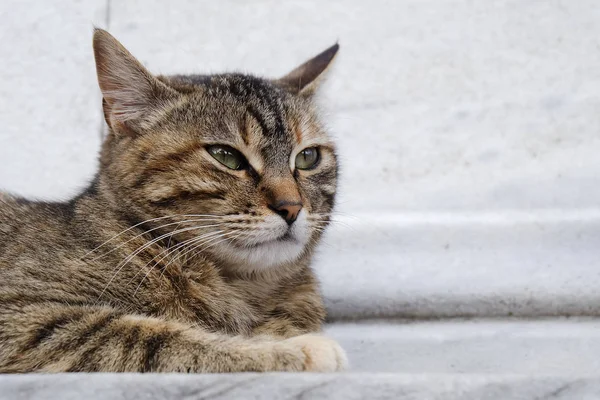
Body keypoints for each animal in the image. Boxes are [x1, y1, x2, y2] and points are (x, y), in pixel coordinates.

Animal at [0, 29, 346, 374]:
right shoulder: (25, 318)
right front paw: (298, 349)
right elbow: (161, 340)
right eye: (226, 156)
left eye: (308, 157)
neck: (247, 287)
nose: (292, 207)